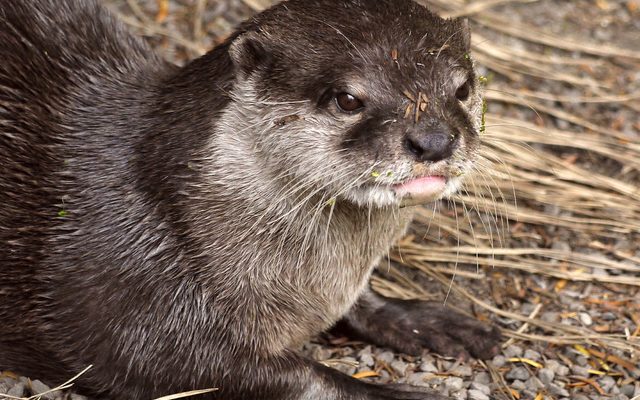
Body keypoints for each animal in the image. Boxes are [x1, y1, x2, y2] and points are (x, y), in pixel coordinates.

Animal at [0, 0, 501, 399]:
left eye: (462, 88)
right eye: (347, 99)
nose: (434, 140)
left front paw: (427, 321)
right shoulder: (126, 302)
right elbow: (291, 376)